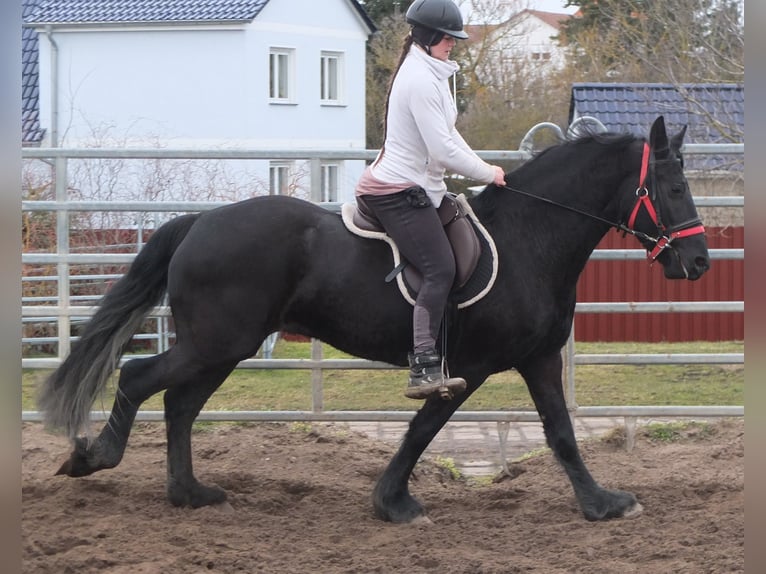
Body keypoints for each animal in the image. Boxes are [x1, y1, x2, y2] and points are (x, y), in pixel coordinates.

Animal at [40, 118, 712, 528]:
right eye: (675, 187)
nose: (700, 262)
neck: (530, 238)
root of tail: (198, 223)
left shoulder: (538, 358)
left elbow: (562, 433)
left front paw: (602, 503)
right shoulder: (466, 369)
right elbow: (422, 430)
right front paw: (394, 503)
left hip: (222, 348)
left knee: (179, 404)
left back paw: (189, 494)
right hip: (215, 342)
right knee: (138, 377)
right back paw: (93, 458)